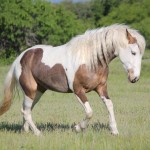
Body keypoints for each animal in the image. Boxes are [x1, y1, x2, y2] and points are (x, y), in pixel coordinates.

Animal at [0, 24, 145, 135]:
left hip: (38, 91)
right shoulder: (78, 91)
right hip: (30, 90)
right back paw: (37, 133)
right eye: (133, 52)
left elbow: (109, 105)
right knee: (26, 111)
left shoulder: (101, 88)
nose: (135, 78)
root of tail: (21, 57)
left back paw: (25, 131)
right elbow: (89, 112)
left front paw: (114, 131)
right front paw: (77, 128)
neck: (89, 61)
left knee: (26, 110)